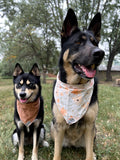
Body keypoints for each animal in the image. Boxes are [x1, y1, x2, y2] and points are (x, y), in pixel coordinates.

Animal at [50, 8, 104, 160]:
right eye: (78, 42)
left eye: (95, 43)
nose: (100, 53)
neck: (75, 88)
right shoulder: (59, 125)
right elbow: (57, 153)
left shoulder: (90, 124)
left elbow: (89, 154)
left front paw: (91, 155)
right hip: (52, 127)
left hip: (94, 130)